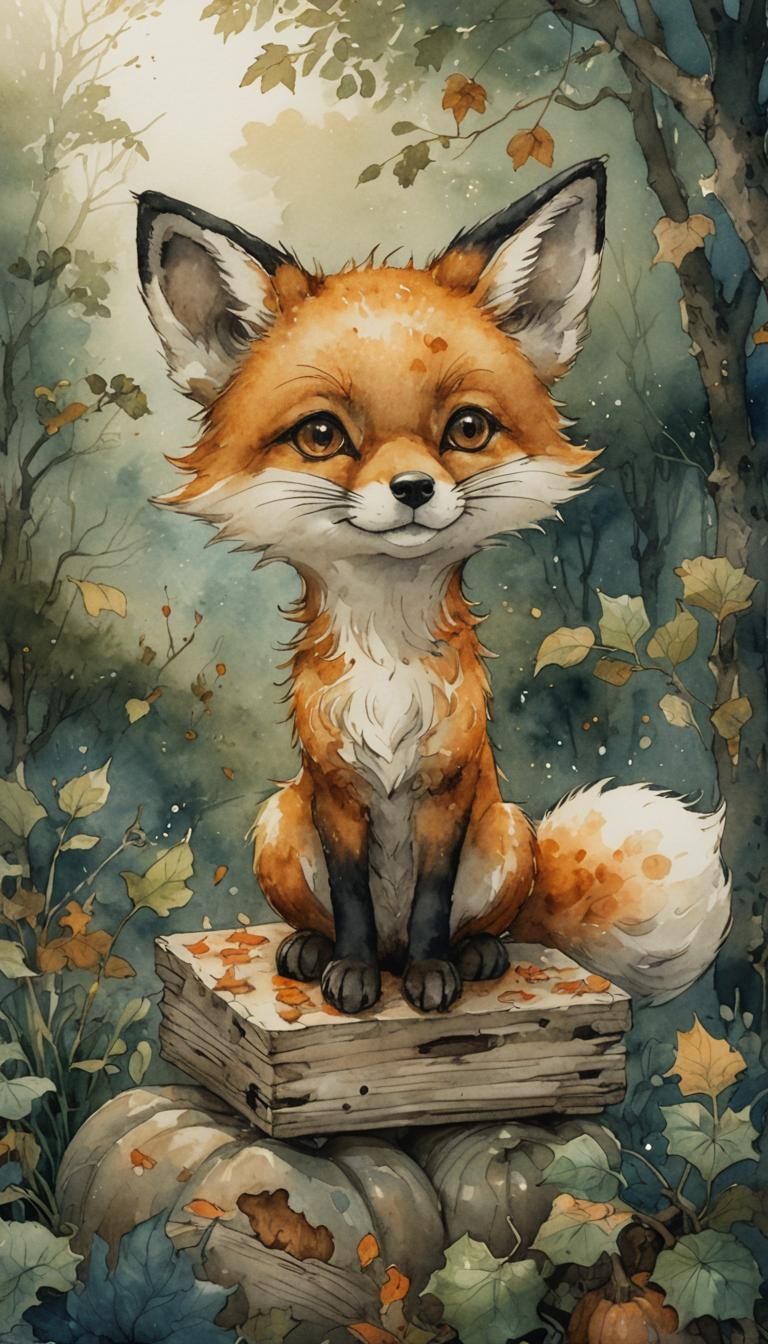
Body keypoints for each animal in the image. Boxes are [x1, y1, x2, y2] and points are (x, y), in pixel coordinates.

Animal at [136, 159, 730, 1015]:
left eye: (468, 429)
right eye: (322, 435)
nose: (414, 489)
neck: (388, 661)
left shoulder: (449, 788)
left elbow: (430, 901)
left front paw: (429, 977)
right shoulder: (335, 790)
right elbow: (352, 895)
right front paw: (350, 974)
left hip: (508, 832)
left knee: (479, 921)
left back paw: (471, 953)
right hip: (279, 824)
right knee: (329, 917)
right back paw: (316, 951)